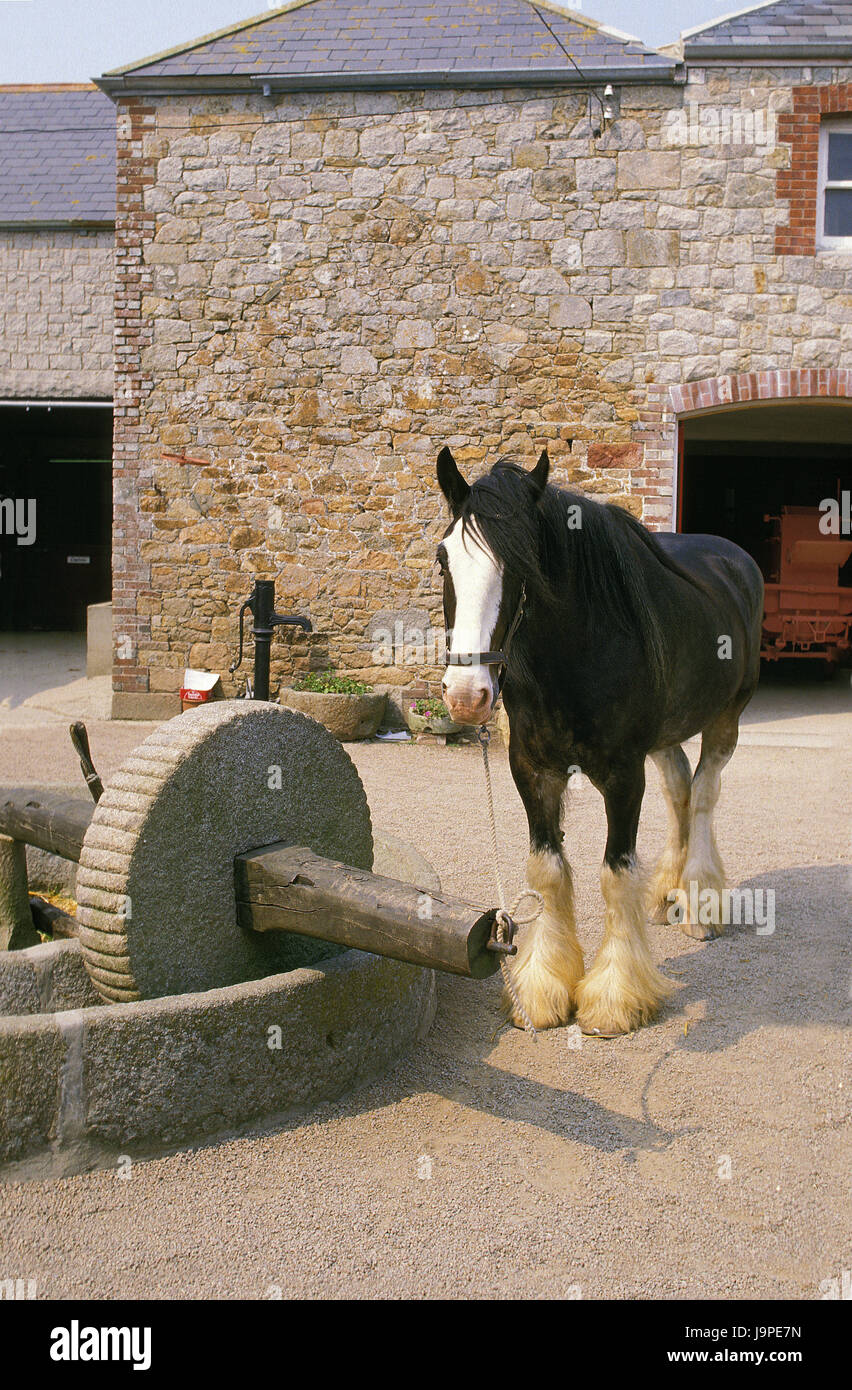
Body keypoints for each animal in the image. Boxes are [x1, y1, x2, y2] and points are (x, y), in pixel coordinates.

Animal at [436, 444, 761, 1034]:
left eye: (525, 565)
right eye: (443, 559)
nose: (467, 695)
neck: (576, 655)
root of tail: (734, 560)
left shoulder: (622, 774)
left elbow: (614, 874)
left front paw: (614, 996)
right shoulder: (532, 770)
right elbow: (547, 870)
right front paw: (542, 987)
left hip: (727, 716)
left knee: (704, 794)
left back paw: (699, 902)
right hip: (665, 732)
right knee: (680, 789)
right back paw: (666, 893)